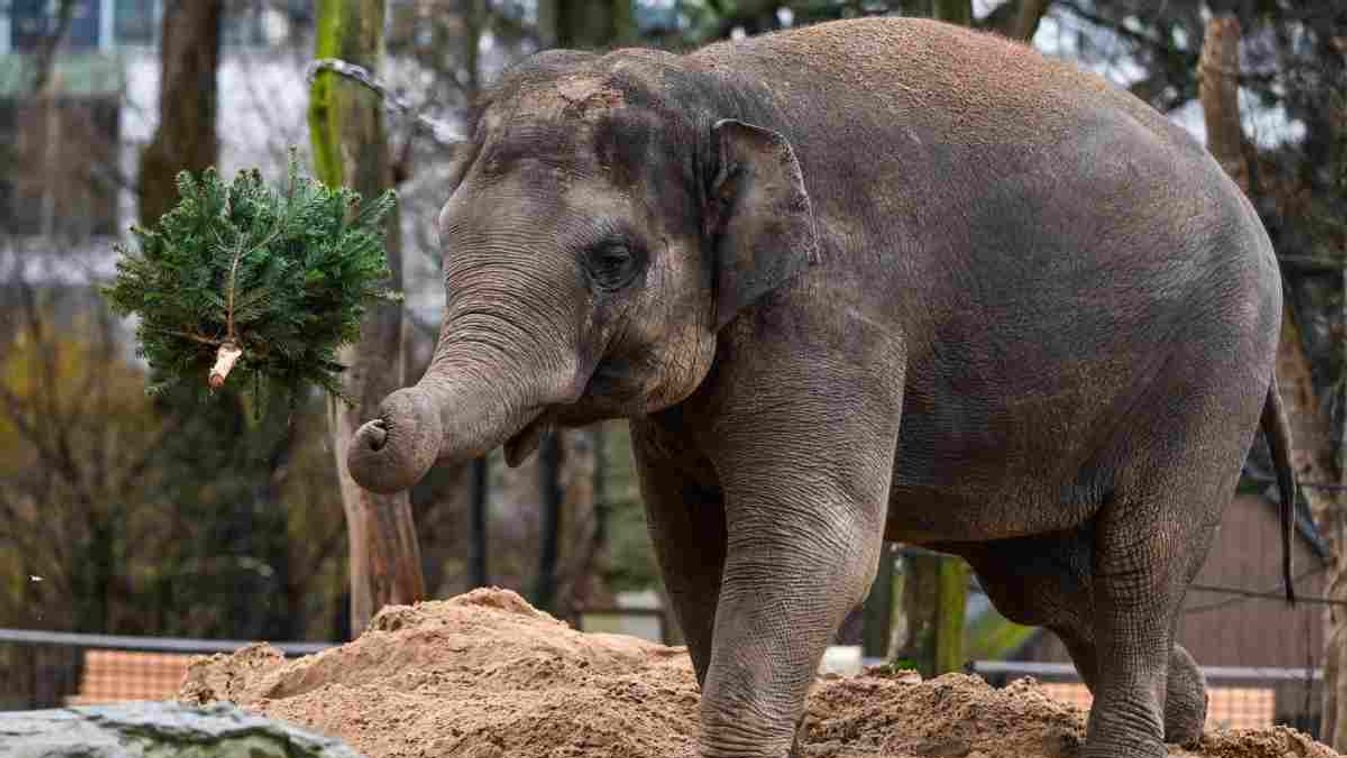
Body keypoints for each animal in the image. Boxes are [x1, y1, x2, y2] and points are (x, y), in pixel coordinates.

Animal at [344, 16, 1293, 758]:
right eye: (444, 233)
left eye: (613, 260)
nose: (373, 431)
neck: (708, 85)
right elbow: (690, 546)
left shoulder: (833, 308)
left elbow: (812, 543)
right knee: (1035, 575)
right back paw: (1188, 716)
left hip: (1214, 369)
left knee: (1138, 560)